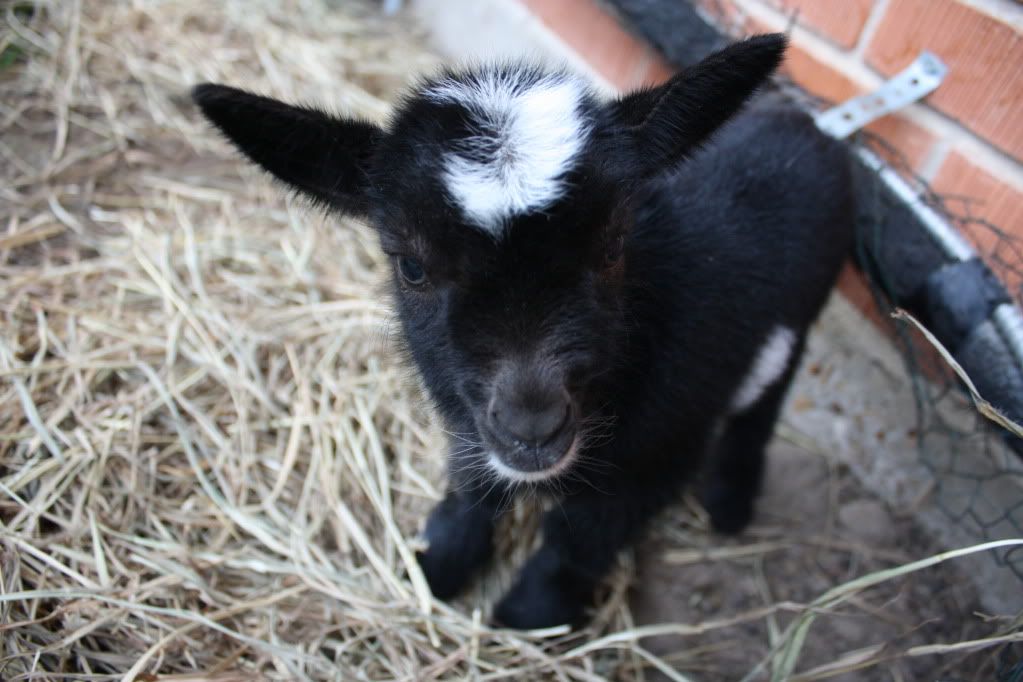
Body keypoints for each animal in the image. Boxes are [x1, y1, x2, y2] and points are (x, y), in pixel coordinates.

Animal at [192, 33, 855, 629]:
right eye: (411, 266)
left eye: (613, 247)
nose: (531, 425)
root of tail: (812, 121)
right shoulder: (470, 425)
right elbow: (470, 491)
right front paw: (438, 564)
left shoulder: (664, 449)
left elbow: (581, 537)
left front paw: (532, 614)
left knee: (764, 398)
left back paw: (731, 502)